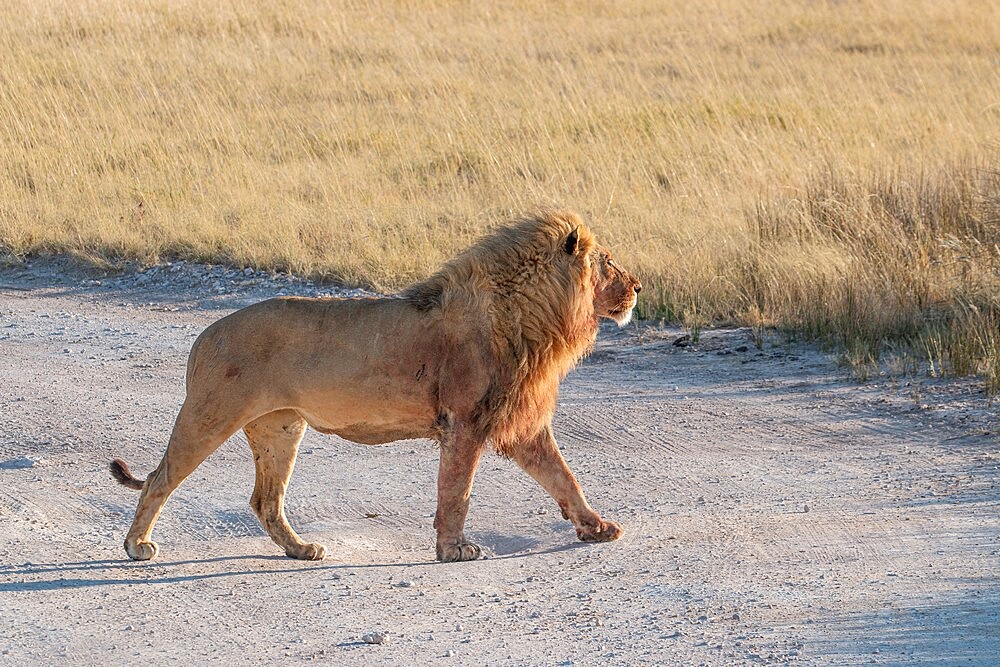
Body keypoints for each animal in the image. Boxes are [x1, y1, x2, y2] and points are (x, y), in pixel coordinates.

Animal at [109, 210, 640, 564]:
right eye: (609, 262)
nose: (638, 287)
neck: (536, 318)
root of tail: (205, 334)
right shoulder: (464, 422)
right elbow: (456, 491)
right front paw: (454, 549)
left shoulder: (522, 424)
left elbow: (563, 477)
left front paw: (597, 528)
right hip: (210, 413)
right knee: (159, 479)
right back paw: (137, 546)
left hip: (280, 428)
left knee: (265, 501)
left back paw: (301, 550)